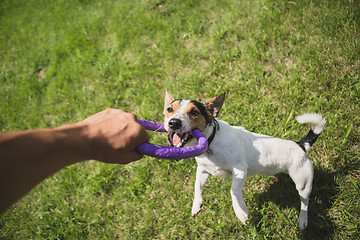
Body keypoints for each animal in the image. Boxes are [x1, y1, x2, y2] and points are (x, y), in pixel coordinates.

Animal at [163, 91, 326, 230]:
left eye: (194, 112)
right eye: (169, 109)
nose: (174, 122)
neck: (211, 141)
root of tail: (301, 145)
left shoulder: (240, 169)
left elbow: (233, 190)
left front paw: (240, 212)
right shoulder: (203, 170)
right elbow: (197, 187)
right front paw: (196, 205)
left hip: (303, 182)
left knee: (305, 203)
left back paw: (303, 219)